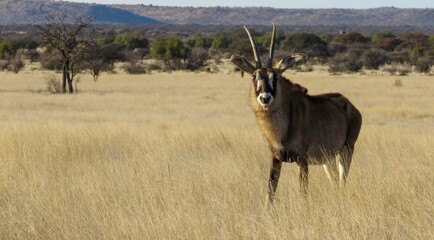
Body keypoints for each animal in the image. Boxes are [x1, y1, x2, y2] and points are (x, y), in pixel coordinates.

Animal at [231, 23, 362, 206]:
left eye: (275, 77)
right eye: (254, 76)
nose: (265, 98)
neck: (281, 127)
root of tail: (350, 105)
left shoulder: (302, 159)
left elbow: (303, 193)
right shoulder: (276, 158)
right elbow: (269, 194)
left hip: (346, 150)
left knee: (343, 181)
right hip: (328, 159)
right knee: (335, 181)